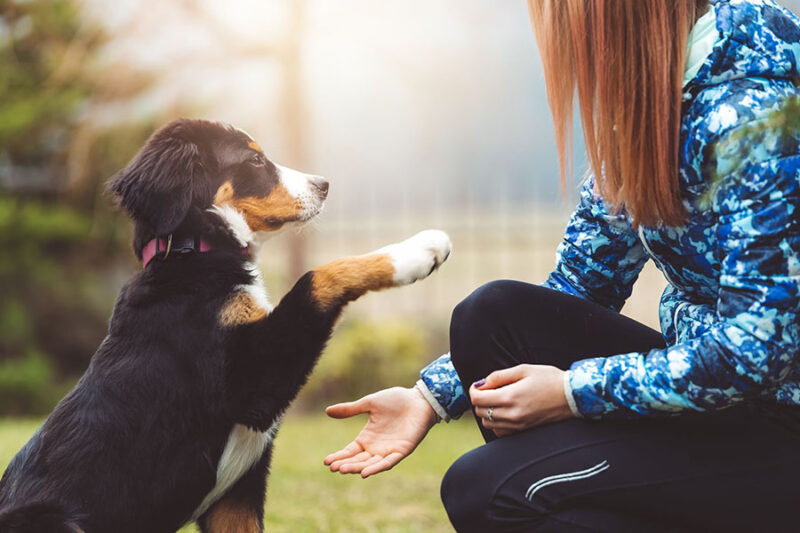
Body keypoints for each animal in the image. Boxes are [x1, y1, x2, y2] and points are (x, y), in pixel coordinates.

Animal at [0, 119, 450, 532]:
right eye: (254, 160)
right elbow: (318, 276)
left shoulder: (236, 495)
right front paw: (417, 251)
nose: (324, 184)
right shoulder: (251, 379)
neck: (192, 254)